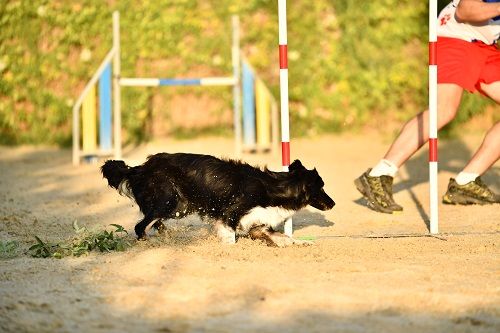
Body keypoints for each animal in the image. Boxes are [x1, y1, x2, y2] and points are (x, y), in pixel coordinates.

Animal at [100, 153, 336, 246]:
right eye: (321, 187)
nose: (333, 203)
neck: (275, 188)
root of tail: (140, 168)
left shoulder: (257, 224)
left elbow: (284, 238)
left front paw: (302, 243)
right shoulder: (230, 214)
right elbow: (230, 239)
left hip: (179, 205)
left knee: (155, 223)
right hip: (167, 201)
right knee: (140, 226)